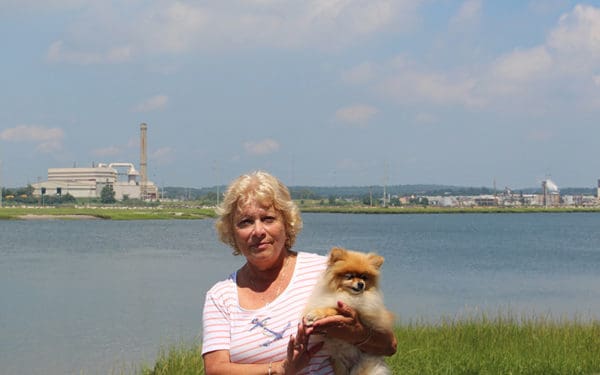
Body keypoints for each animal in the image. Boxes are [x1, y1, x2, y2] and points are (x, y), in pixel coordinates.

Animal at [304, 247, 394, 375]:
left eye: (364, 277)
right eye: (350, 276)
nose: (361, 284)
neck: (348, 295)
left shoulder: (357, 311)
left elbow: (333, 309)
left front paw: (315, 314)